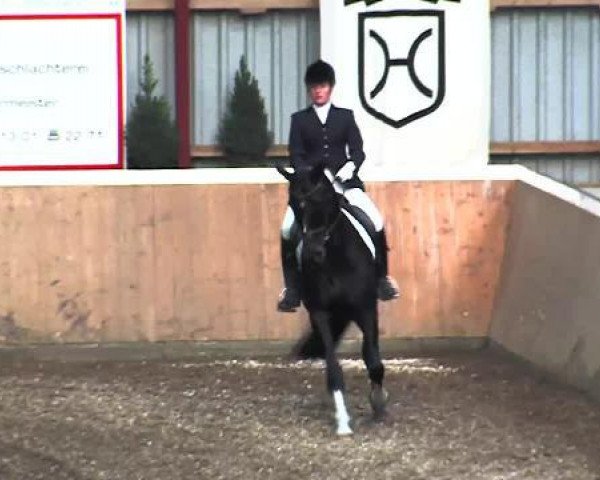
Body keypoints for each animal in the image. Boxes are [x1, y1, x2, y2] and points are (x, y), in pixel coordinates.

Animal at [278, 165, 390, 436]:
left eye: (324, 201)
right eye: (293, 204)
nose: (312, 252)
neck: (335, 258)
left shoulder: (366, 308)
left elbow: (373, 359)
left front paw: (378, 403)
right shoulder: (320, 313)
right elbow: (333, 367)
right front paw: (342, 420)